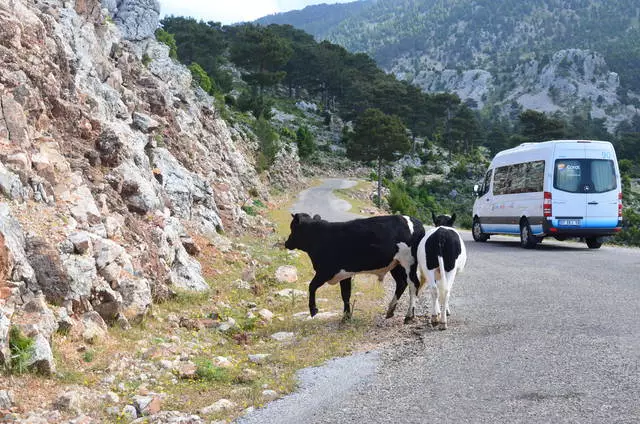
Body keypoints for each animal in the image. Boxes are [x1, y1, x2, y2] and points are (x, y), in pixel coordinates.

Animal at [284, 214, 424, 320]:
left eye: (293, 229)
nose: (286, 243)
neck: (319, 237)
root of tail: (417, 222)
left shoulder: (325, 271)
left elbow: (311, 286)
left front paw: (313, 310)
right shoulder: (344, 273)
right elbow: (345, 294)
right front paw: (346, 317)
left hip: (409, 262)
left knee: (414, 284)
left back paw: (409, 315)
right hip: (396, 264)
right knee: (401, 283)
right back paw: (390, 310)